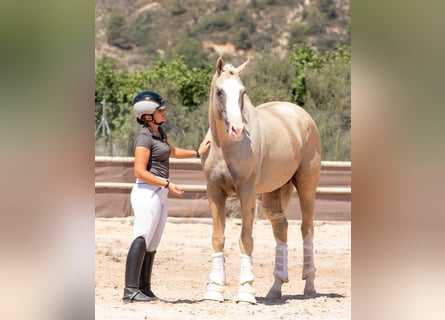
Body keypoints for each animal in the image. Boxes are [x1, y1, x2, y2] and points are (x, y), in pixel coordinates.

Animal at [200, 57, 320, 304]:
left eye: (242, 91)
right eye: (219, 91)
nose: (237, 129)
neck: (225, 148)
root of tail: (302, 117)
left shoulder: (246, 192)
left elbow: (246, 239)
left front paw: (246, 291)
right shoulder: (214, 191)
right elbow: (218, 237)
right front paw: (214, 290)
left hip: (306, 187)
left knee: (307, 229)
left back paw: (310, 286)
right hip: (272, 194)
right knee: (281, 228)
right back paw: (275, 289)